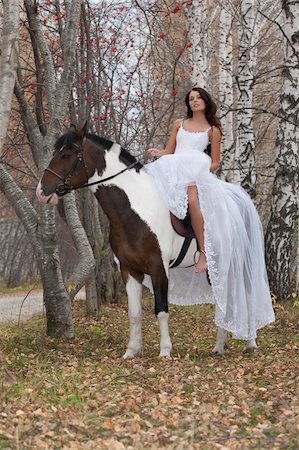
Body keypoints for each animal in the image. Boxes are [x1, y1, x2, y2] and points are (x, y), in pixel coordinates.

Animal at [37, 124, 258, 358]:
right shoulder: (129, 269)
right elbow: (134, 313)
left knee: (244, 297)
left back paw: (250, 343)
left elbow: (161, 310)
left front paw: (165, 351)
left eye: (66, 155)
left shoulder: (158, 267)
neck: (137, 208)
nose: (41, 191)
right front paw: (131, 351)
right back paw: (219, 347)